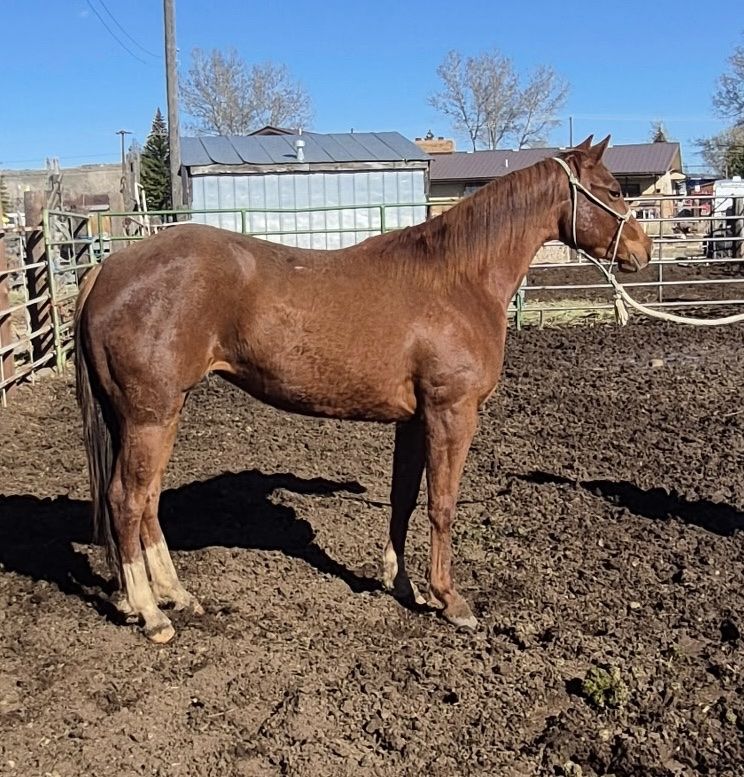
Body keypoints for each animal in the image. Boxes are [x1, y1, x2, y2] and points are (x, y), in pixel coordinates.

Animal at [74, 135, 652, 643]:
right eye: (612, 189)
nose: (643, 251)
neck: (456, 280)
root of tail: (108, 266)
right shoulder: (452, 413)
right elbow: (442, 505)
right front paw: (450, 600)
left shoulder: (415, 421)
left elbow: (403, 500)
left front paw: (403, 585)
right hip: (150, 416)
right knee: (128, 499)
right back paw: (152, 614)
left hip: (159, 413)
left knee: (148, 501)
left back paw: (174, 595)